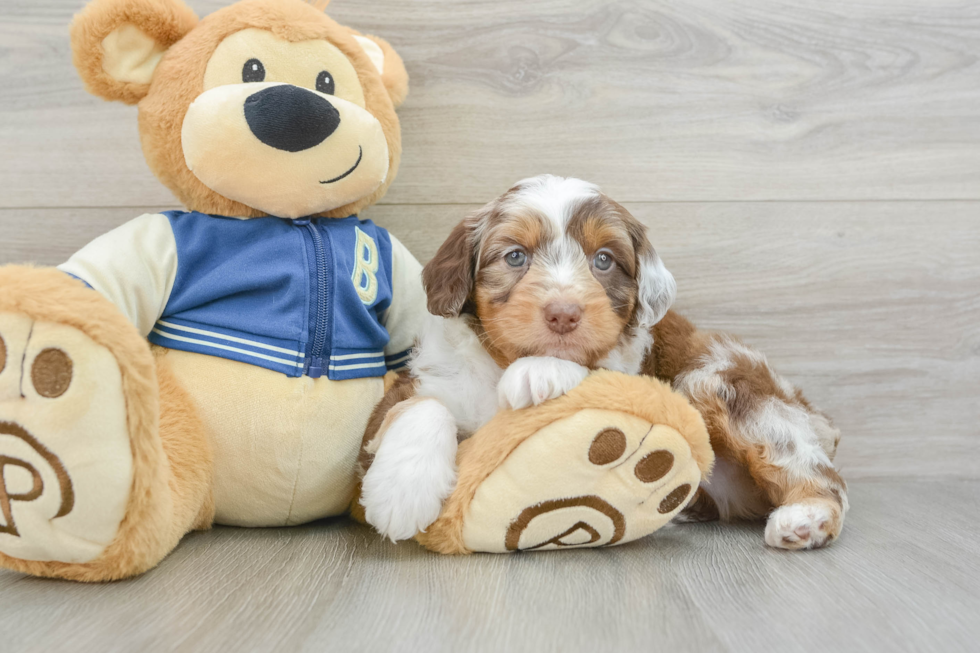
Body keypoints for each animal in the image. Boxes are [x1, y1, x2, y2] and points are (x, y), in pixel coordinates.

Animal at [364, 174, 848, 552]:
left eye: (604, 260)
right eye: (515, 255)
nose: (563, 313)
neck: (501, 364)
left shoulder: (634, 372)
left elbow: (598, 369)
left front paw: (543, 371)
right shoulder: (419, 382)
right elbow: (422, 406)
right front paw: (401, 492)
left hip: (719, 380)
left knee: (823, 475)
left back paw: (806, 519)